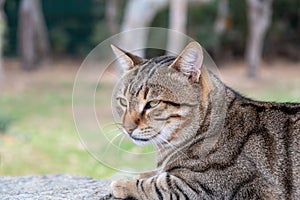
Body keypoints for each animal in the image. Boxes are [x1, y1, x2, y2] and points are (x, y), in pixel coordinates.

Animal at [109, 41, 298, 199]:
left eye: (153, 103)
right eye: (123, 102)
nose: (127, 129)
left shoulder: (203, 187)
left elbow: (156, 185)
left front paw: (123, 183)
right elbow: (153, 173)